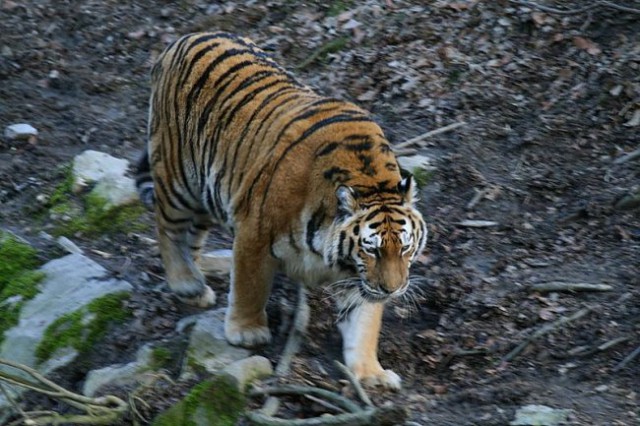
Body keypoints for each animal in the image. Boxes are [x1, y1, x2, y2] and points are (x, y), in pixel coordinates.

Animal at [136, 30, 428, 390]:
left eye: (405, 248)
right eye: (371, 249)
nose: (393, 289)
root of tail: (186, 38)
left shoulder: (360, 280)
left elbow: (364, 321)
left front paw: (369, 372)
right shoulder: (254, 234)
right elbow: (250, 286)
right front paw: (246, 332)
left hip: (207, 191)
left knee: (192, 236)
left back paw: (197, 286)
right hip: (178, 178)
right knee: (167, 228)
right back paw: (185, 282)